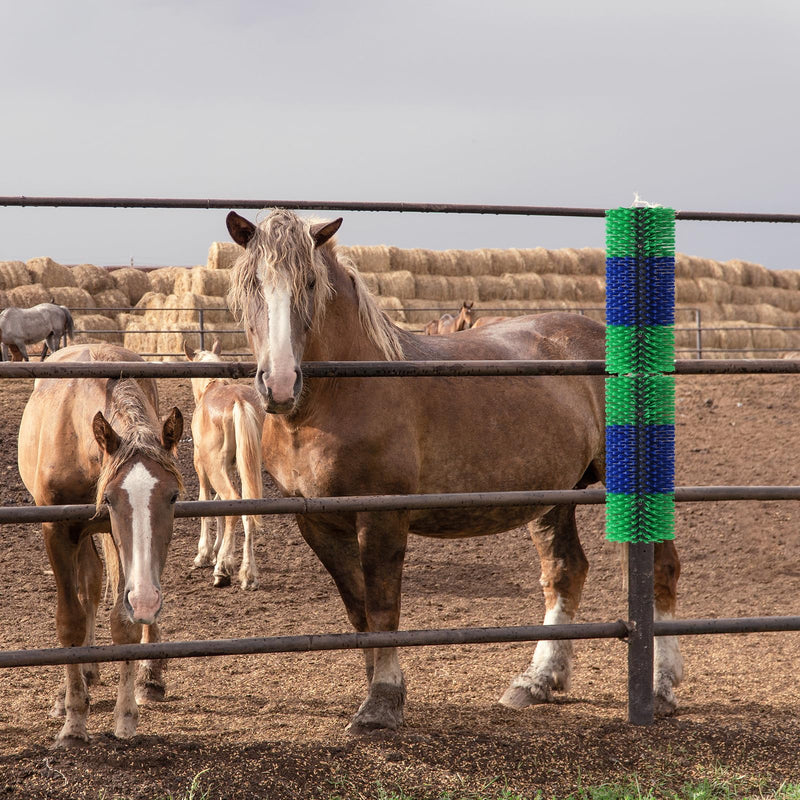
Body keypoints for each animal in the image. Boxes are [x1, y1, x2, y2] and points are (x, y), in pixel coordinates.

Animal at [17, 343, 184, 747]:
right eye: (109, 498)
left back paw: (148, 678)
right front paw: (74, 720)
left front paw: (125, 716)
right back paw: (81, 679)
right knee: (88, 585)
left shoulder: (116, 537)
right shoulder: (58, 531)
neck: (78, 441)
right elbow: (71, 621)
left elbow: (124, 622)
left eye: (172, 495)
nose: (147, 600)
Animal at [184, 339, 266, 589]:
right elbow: (218, 504)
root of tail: (238, 401)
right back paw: (248, 574)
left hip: (214, 468)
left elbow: (206, 503)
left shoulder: (202, 467)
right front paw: (217, 547)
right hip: (246, 469)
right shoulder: (230, 467)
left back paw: (222, 569)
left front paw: (205, 553)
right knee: (246, 507)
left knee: (232, 500)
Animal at [225, 208, 683, 734]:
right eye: (251, 285)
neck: (340, 394)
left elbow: (382, 608)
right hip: (553, 493)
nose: (279, 384)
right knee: (566, 570)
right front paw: (379, 689)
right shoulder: (317, 523)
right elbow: (358, 611)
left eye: (310, 282)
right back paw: (538, 681)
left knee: (661, 567)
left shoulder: (382, 517)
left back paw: (662, 687)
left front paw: (382, 701)